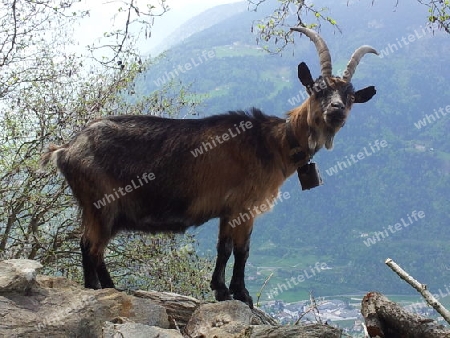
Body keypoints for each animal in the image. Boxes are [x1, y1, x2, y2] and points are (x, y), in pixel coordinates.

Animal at [40, 28, 378, 308]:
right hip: (100, 204)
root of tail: (66, 149)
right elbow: (237, 250)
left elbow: (229, 249)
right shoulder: (242, 206)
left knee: (96, 248)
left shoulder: (232, 210)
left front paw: (223, 290)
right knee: (89, 246)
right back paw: (96, 289)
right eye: (317, 89)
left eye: (350, 96)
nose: (336, 111)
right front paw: (237, 294)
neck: (271, 143)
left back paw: (114, 288)